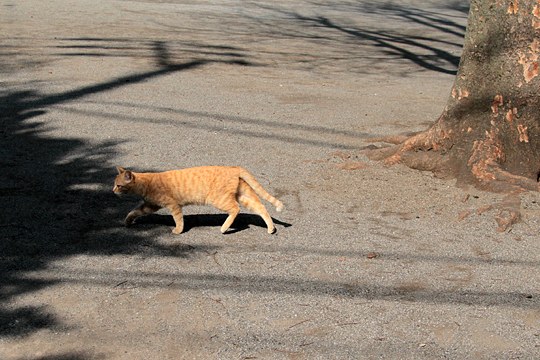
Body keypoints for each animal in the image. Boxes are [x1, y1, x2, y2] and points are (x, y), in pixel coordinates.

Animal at [112, 165, 284, 233]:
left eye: (119, 185)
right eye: (114, 184)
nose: (113, 191)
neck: (146, 183)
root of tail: (233, 167)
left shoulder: (173, 205)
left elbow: (178, 219)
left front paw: (178, 230)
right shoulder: (150, 205)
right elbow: (134, 211)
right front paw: (127, 222)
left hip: (218, 199)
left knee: (235, 209)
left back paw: (224, 228)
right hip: (242, 195)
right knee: (260, 207)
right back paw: (271, 228)